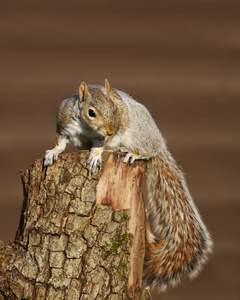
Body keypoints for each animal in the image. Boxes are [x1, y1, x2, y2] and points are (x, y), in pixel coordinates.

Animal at [44, 79, 212, 292]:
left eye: (115, 108)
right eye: (91, 112)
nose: (110, 130)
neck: (86, 128)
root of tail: (159, 144)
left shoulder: (108, 134)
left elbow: (99, 145)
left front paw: (95, 155)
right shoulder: (64, 123)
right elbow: (60, 143)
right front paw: (52, 152)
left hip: (137, 134)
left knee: (147, 152)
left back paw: (133, 153)